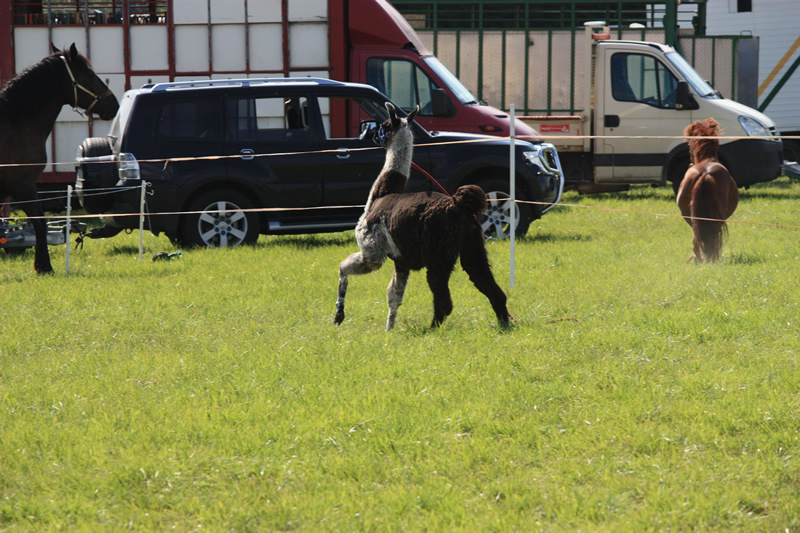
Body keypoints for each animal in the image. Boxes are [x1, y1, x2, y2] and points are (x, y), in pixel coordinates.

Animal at [0, 43, 118, 272]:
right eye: (89, 75)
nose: (114, 104)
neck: (15, 122)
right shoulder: (22, 184)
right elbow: (40, 222)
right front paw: (44, 266)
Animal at [332, 103, 510, 328]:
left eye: (384, 124)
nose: (370, 134)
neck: (380, 195)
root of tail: (457, 205)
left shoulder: (372, 250)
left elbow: (342, 268)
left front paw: (339, 314)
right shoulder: (401, 260)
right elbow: (394, 296)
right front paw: (389, 330)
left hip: (438, 252)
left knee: (444, 300)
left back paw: (431, 329)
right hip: (473, 248)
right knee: (493, 290)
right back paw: (504, 325)